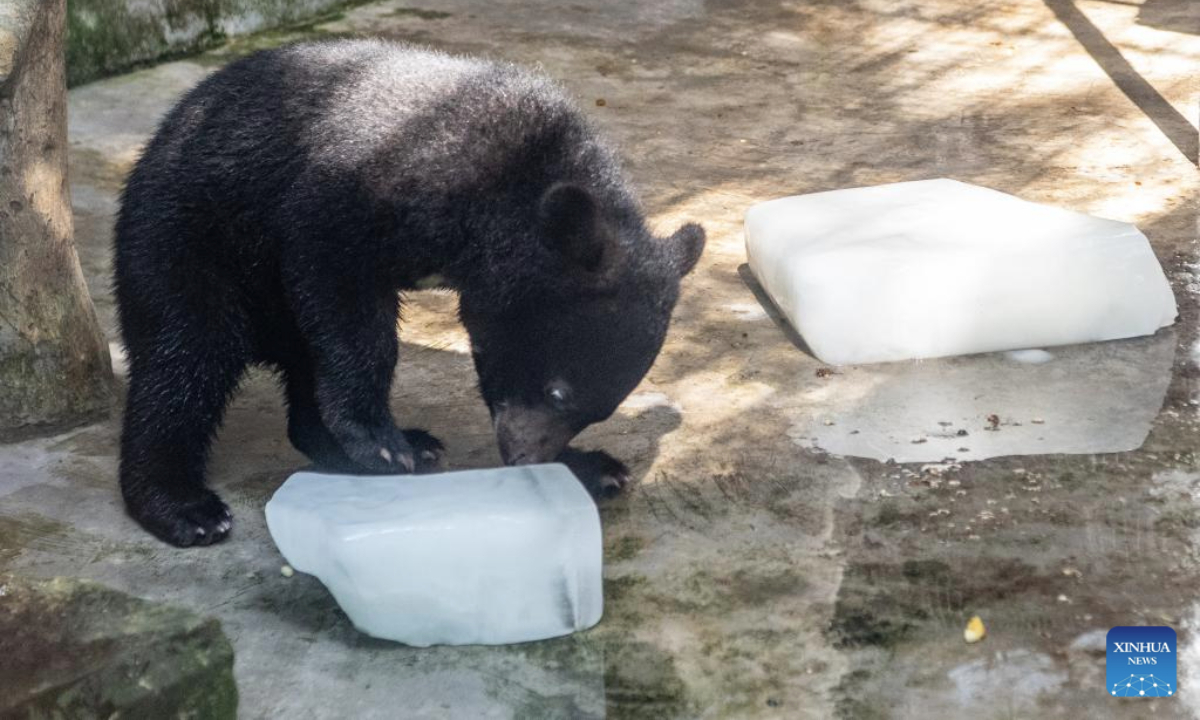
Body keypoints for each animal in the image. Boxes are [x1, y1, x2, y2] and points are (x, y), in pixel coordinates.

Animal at [114, 40, 705, 547]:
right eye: (559, 391)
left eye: (598, 411)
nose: (524, 457)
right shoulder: (364, 189)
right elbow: (342, 292)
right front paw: (378, 439)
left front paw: (595, 467)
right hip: (186, 240)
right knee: (185, 360)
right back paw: (184, 506)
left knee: (294, 366)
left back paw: (387, 444)